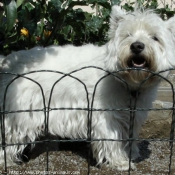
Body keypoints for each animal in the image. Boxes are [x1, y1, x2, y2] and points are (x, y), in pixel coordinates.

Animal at [0, 5, 175, 171]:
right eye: (127, 35)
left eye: (155, 38)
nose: (137, 46)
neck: (128, 82)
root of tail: (8, 61)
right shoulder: (106, 114)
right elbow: (112, 137)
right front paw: (121, 162)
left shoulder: (134, 112)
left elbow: (128, 134)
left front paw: (132, 152)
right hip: (20, 113)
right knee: (9, 138)